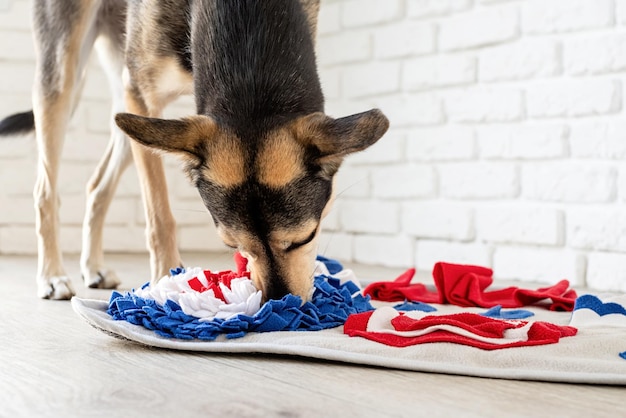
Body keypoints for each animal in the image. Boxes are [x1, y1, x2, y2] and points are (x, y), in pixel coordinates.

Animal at [0, 0, 388, 300]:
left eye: (306, 238)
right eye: (232, 245)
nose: (281, 304)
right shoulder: (140, 95)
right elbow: (159, 216)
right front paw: (165, 280)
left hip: (128, 117)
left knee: (97, 185)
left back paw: (93, 267)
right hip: (66, 76)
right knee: (45, 189)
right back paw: (52, 274)